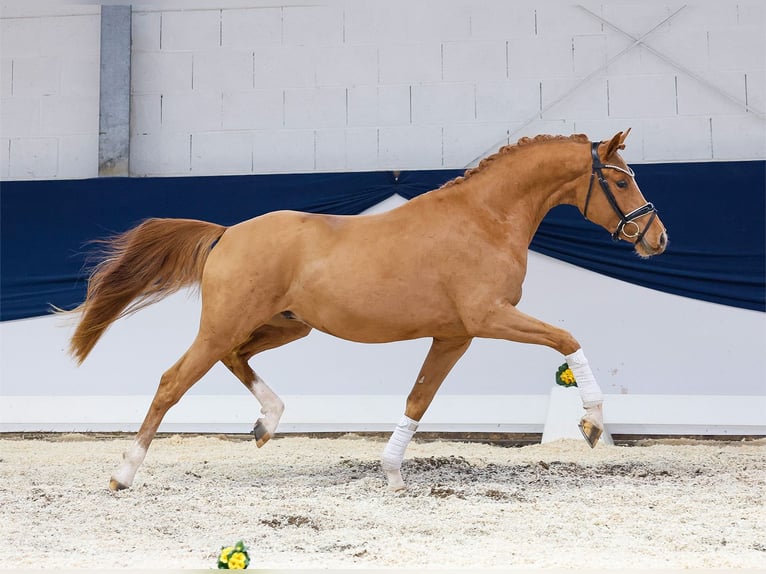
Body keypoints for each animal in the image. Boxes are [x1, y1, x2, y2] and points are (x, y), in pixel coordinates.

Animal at [66, 133, 664, 492]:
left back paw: (266, 423)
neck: (484, 218)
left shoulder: (455, 335)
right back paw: (124, 474)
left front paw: (392, 473)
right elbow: (567, 339)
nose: (656, 238)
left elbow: (419, 398)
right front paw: (591, 423)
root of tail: (227, 233)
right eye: (619, 179)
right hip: (224, 325)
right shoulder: (487, 318)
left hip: (285, 326)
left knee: (236, 358)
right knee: (172, 381)